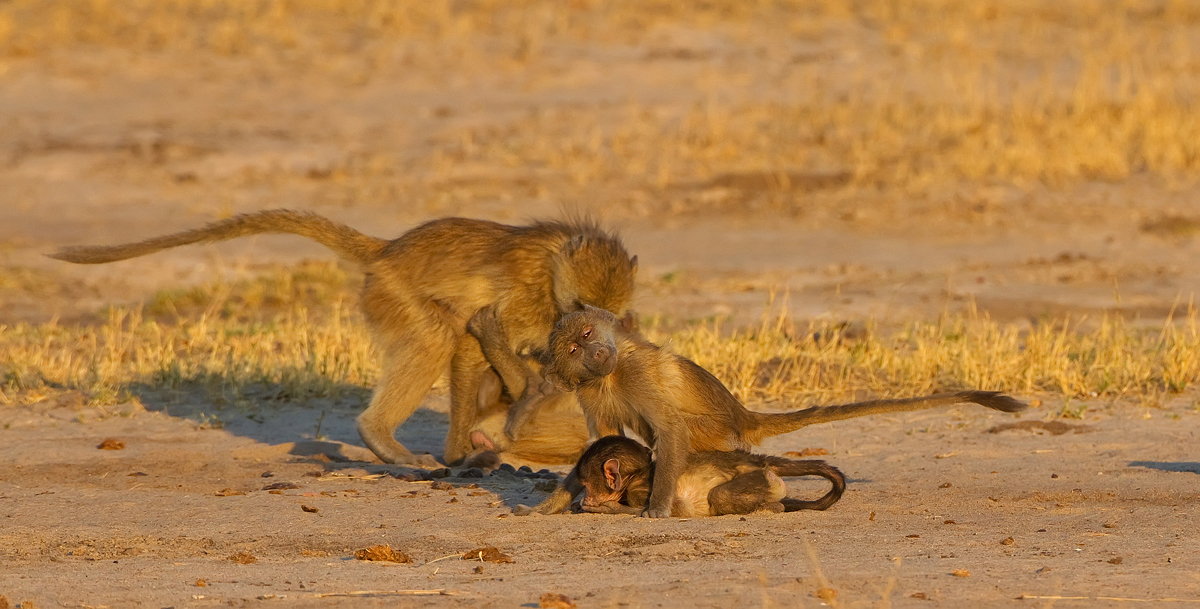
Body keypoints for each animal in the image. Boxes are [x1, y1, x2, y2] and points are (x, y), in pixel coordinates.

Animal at [50, 210, 637, 466]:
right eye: (580, 309)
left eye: (601, 314)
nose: (591, 332)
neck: (555, 263)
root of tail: (388, 251)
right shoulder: (525, 299)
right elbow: (475, 338)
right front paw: (460, 449)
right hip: (393, 294)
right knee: (436, 337)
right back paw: (384, 440)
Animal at [567, 436, 845, 517]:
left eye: (587, 485)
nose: (587, 496)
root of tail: (754, 460)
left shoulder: (639, 490)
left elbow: (676, 509)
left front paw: (602, 507)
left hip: (763, 479)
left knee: (720, 496)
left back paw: (772, 507)